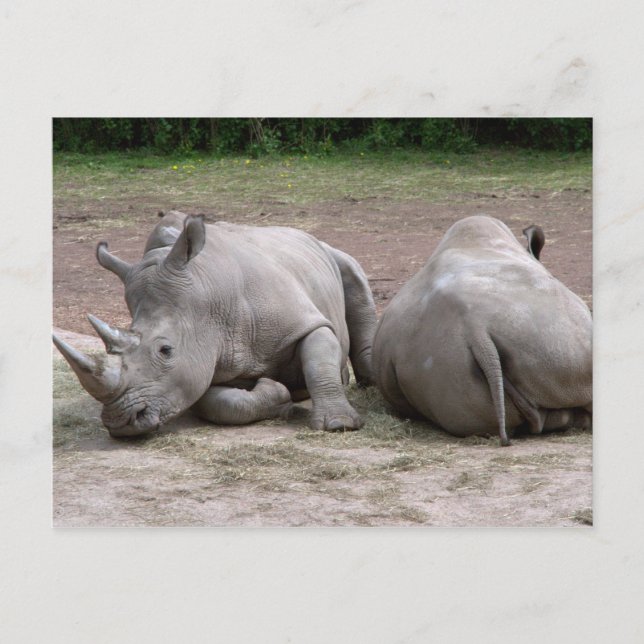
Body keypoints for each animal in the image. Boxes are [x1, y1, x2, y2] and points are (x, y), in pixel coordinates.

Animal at [53, 211, 377, 438]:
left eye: (166, 350)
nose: (121, 422)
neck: (209, 298)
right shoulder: (202, 356)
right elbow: (219, 404)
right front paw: (278, 395)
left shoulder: (305, 321)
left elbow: (318, 357)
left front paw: (339, 424)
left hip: (331, 252)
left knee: (353, 277)